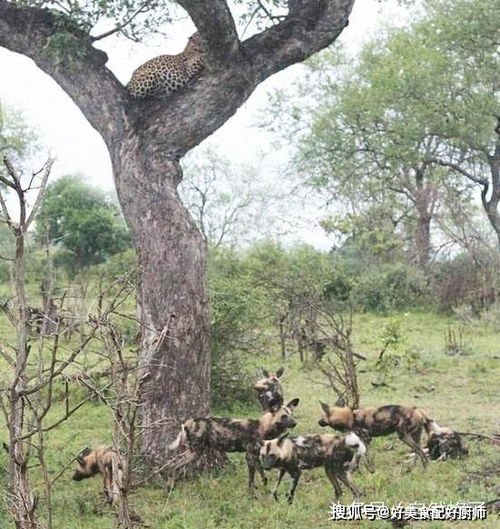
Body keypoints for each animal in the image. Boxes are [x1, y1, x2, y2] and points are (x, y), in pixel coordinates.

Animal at [168, 398, 300, 488]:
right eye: (284, 416)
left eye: (291, 415)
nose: (295, 423)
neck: (262, 427)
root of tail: (188, 422)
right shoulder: (250, 456)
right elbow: (254, 477)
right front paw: (253, 494)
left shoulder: (254, 456)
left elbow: (261, 476)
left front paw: (260, 487)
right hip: (195, 452)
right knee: (175, 464)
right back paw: (170, 486)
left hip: (195, 452)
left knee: (174, 464)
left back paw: (171, 485)